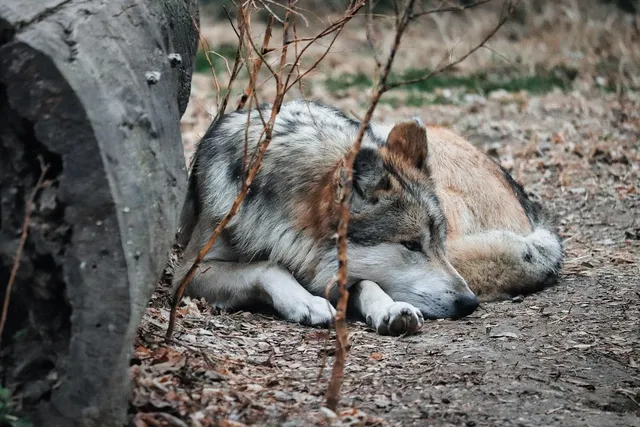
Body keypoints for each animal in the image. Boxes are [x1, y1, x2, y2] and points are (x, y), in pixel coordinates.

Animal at [172, 100, 563, 336]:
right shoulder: (189, 271)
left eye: (435, 243)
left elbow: (367, 283)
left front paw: (390, 310)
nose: (470, 304)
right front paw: (306, 302)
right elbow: (268, 266)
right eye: (411, 245)